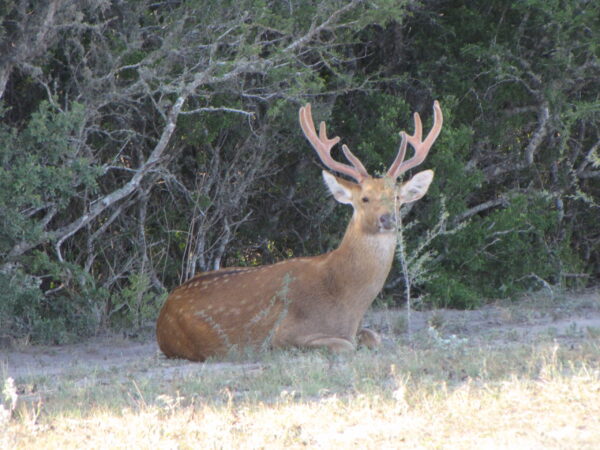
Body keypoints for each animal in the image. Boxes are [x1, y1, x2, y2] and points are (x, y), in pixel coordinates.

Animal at [157, 100, 442, 360]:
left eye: (397, 197)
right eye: (364, 198)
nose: (388, 218)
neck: (347, 300)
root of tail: (163, 311)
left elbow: (374, 337)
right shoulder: (283, 335)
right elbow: (344, 345)